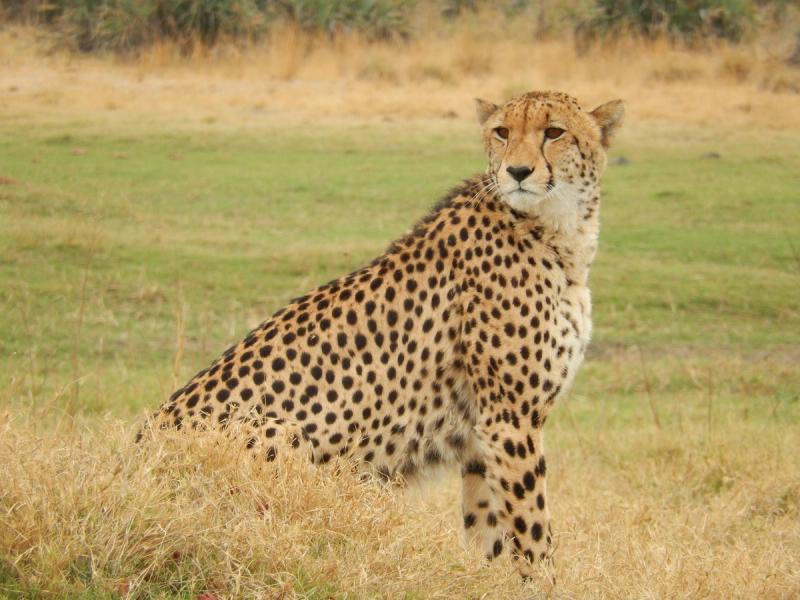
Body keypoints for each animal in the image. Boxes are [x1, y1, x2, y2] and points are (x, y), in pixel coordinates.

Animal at [142, 89, 624, 578]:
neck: (556, 230)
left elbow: (487, 527)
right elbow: (532, 528)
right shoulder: (508, 419)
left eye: (555, 132)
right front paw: (543, 582)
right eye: (503, 132)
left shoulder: (481, 434)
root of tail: (136, 449)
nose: (518, 172)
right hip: (282, 435)